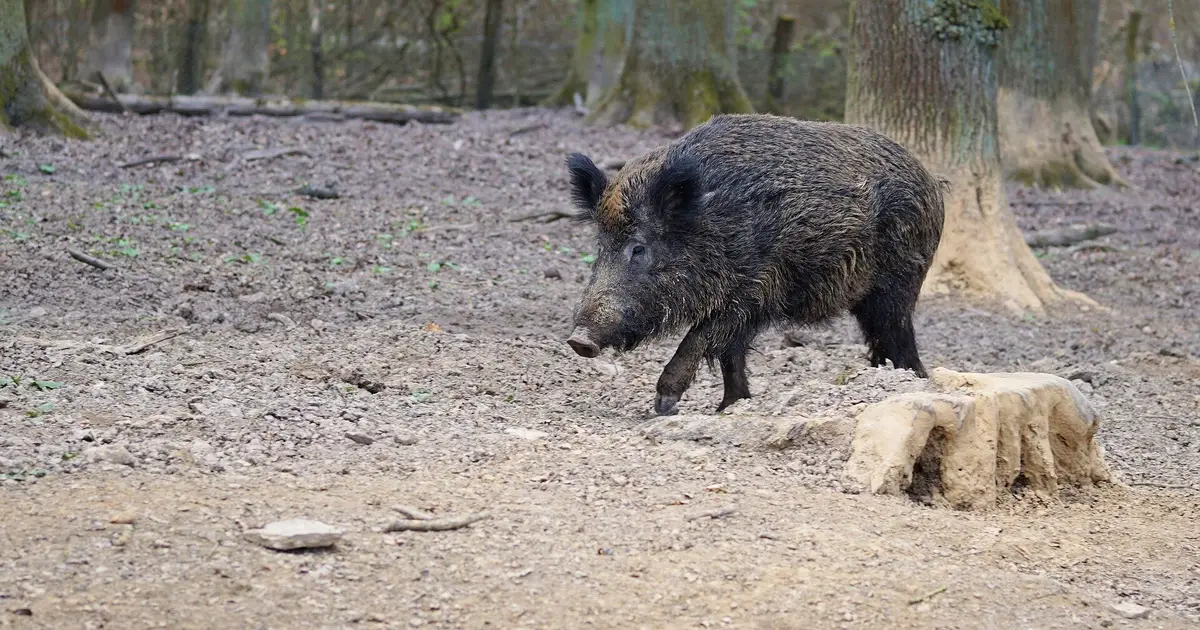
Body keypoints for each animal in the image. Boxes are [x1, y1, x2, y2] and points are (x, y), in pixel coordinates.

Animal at [563, 113, 945, 416]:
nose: (579, 340)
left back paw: (912, 380)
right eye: (601, 246)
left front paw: (664, 404)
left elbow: (701, 337)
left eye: (638, 248)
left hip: (898, 282)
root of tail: (932, 181)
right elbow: (730, 354)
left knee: (899, 335)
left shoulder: (752, 290)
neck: (712, 224)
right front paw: (731, 406)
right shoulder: (747, 305)